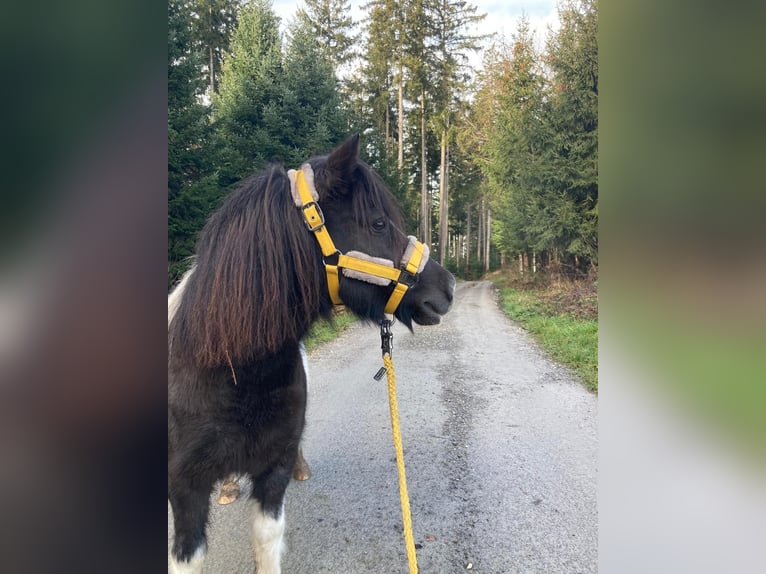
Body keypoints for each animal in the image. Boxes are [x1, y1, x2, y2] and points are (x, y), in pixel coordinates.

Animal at [168, 134, 456, 572]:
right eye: (378, 223)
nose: (448, 287)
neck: (231, 373)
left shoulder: (273, 471)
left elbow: (268, 539)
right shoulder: (185, 488)